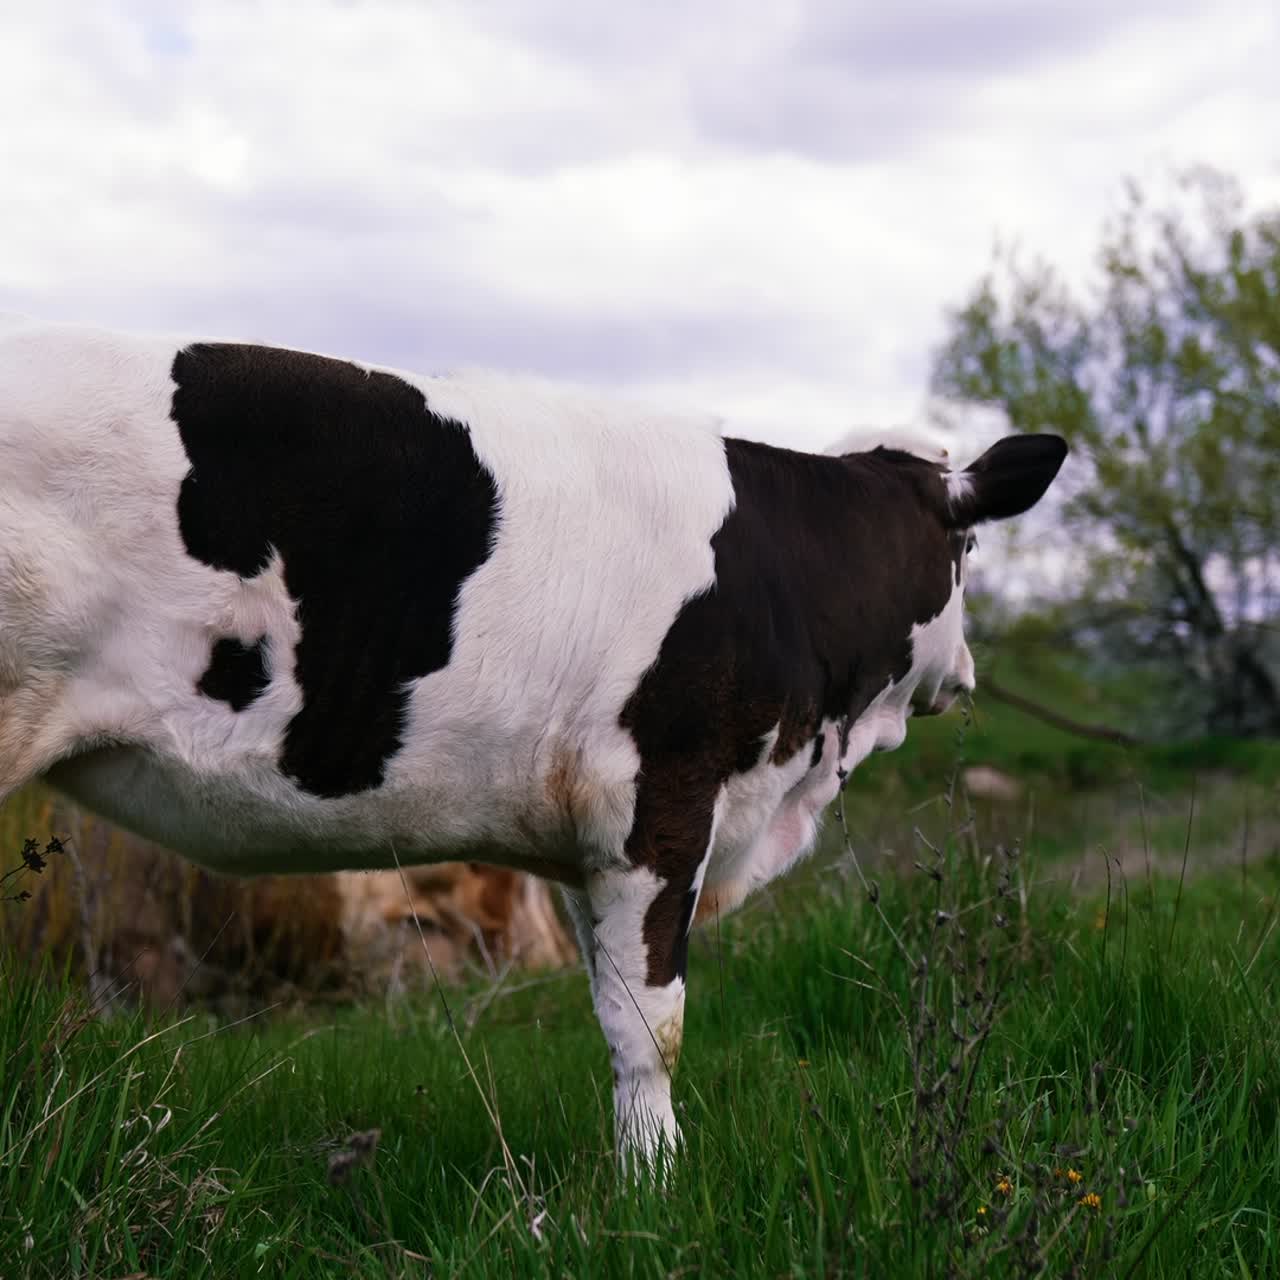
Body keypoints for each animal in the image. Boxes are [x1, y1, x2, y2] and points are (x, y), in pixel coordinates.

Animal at [0, 314, 1067, 1170]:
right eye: (970, 547)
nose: (969, 671)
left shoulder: (586, 843)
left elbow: (611, 1008)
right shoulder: (663, 799)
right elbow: (653, 1026)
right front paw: (657, 1182)